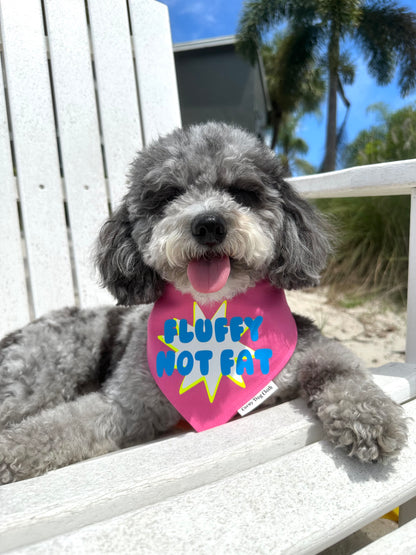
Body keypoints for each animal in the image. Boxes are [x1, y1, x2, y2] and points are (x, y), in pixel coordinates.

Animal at [0, 120, 406, 482]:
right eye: (168, 194)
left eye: (242, 192)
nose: (209, 224)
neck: (213, 316)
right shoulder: (124, 403)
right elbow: (58, 425)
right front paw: (10, 450)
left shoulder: (311, 347)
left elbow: (344, 371)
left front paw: (372, 418)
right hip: (40, 373)